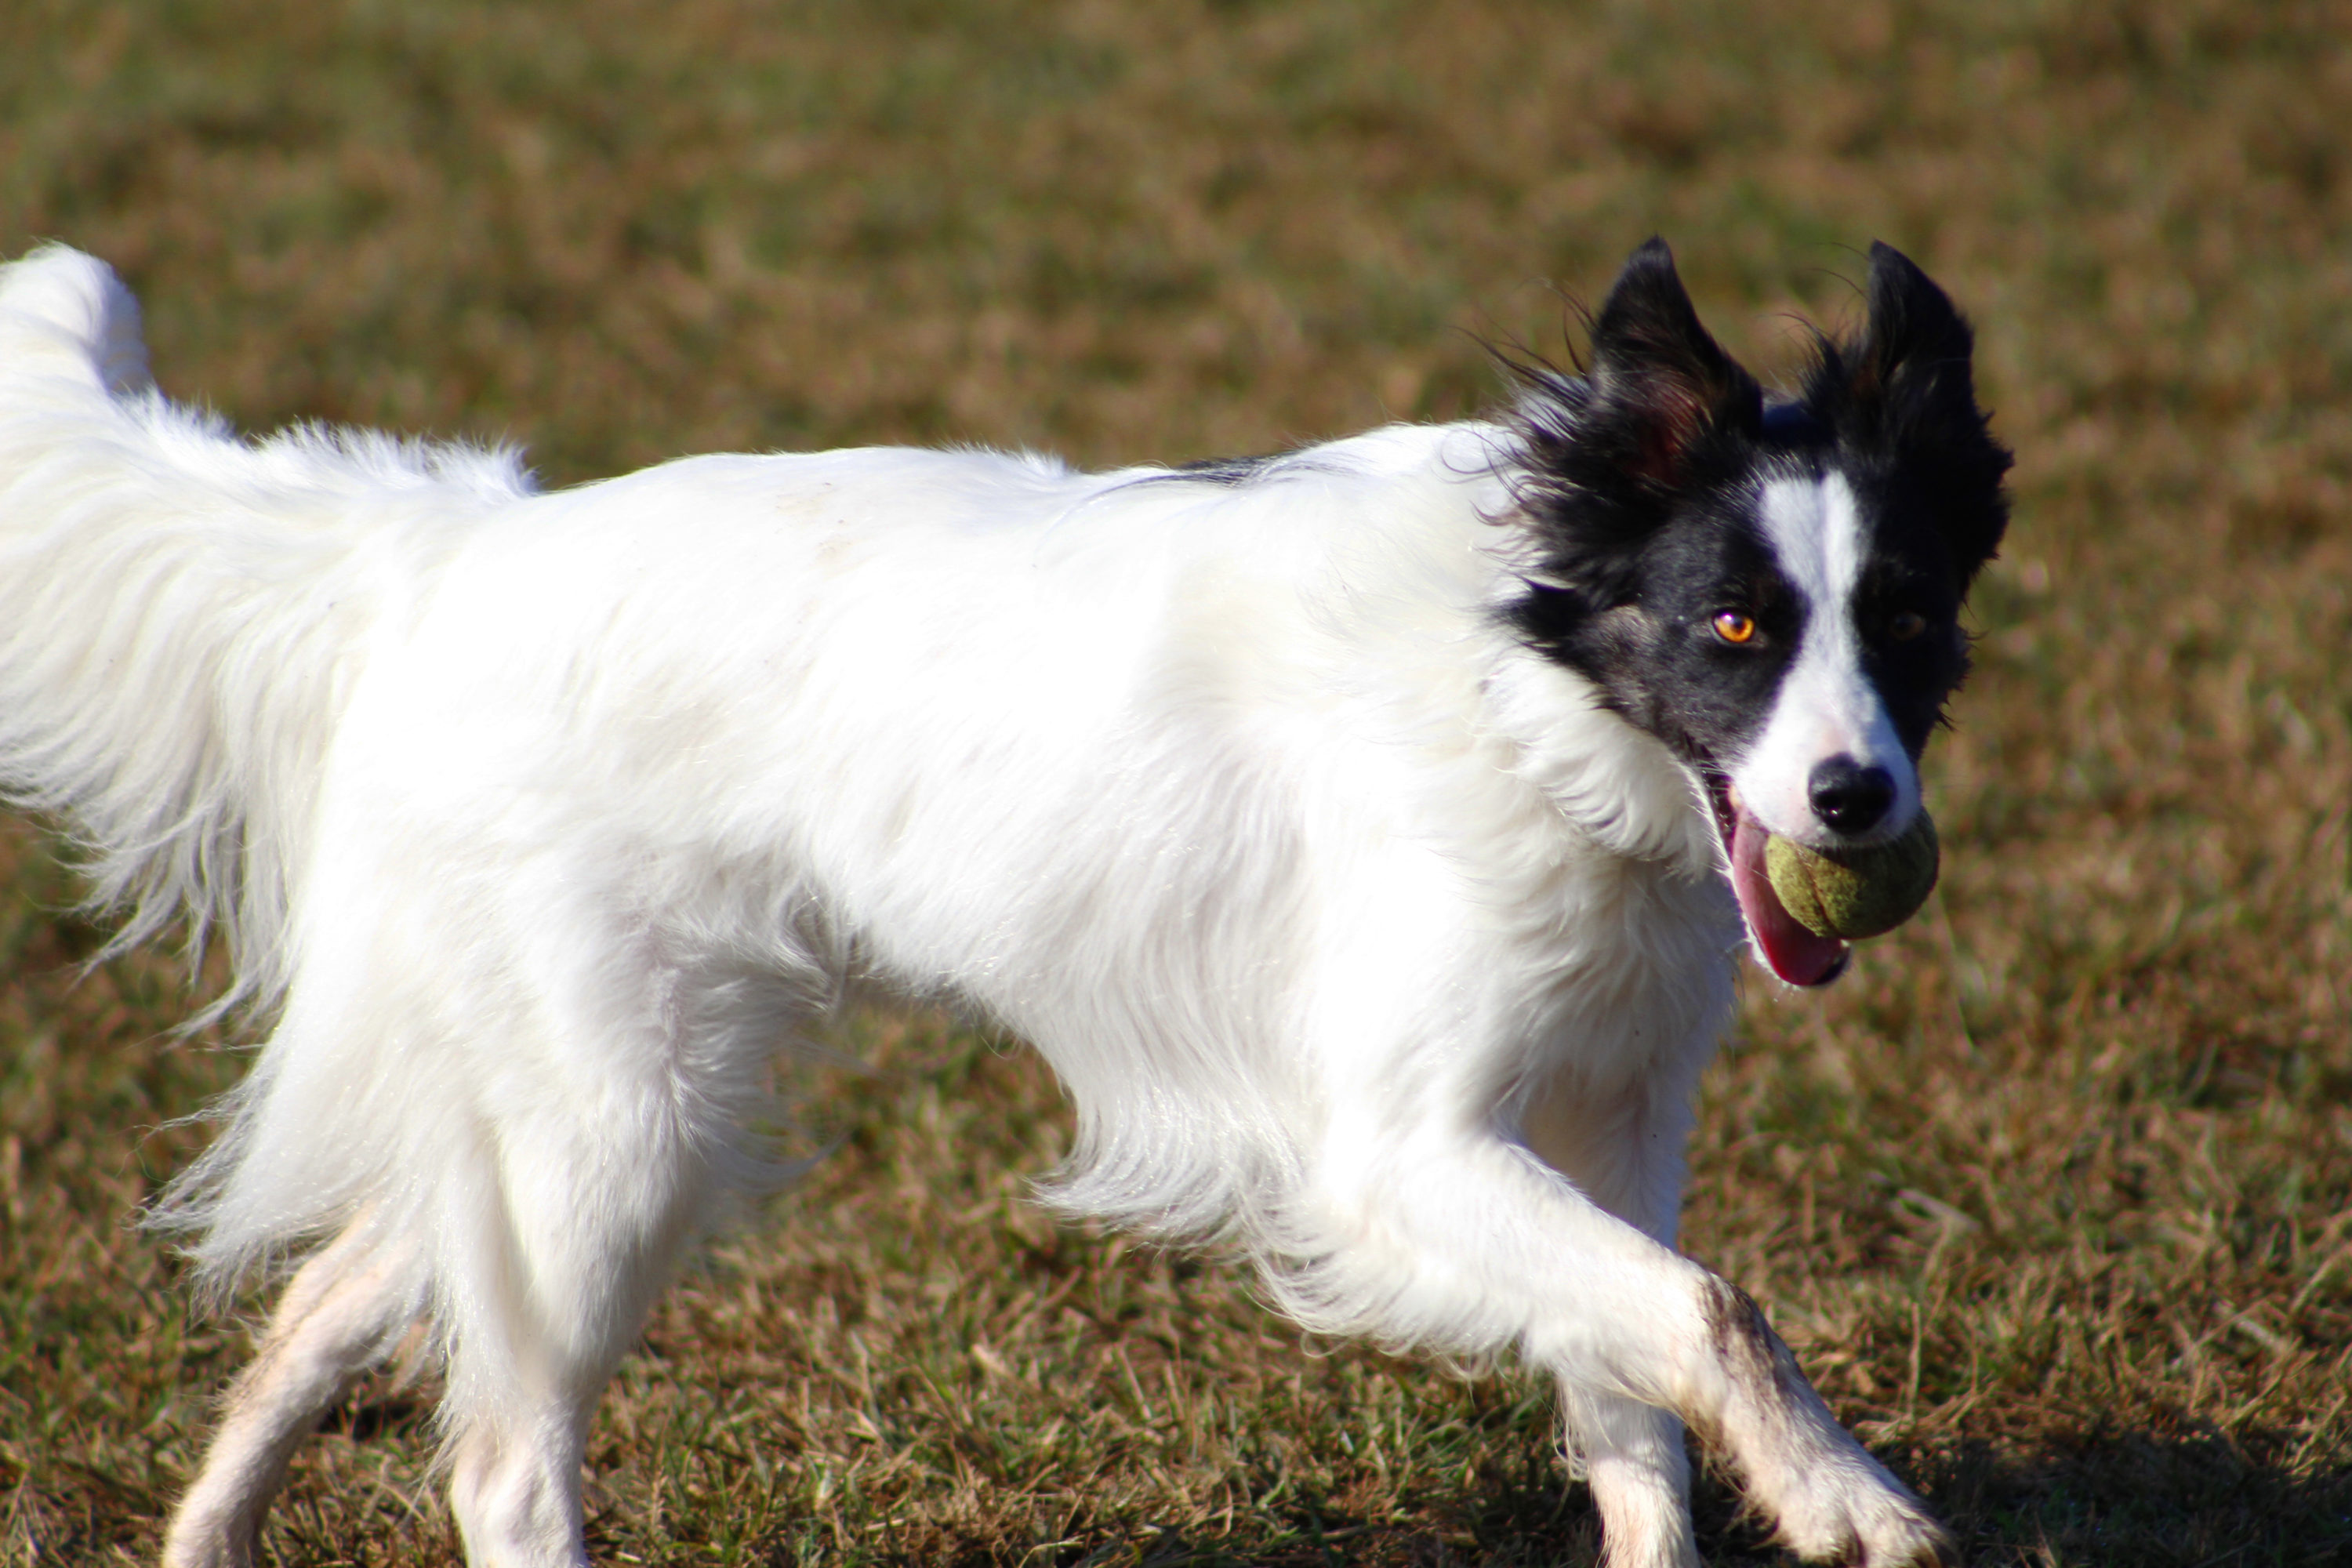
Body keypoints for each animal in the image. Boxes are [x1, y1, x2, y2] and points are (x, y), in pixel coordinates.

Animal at [0, 236, 2004, 1568]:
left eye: (1905, 619)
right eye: (1734, 624)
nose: (1859, 802)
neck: (1528, 698)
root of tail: (453, 548)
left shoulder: (1609, 1123)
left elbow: (1641, 1401)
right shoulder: (1396, 1148)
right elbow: (1709, 1311)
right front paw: (1854, 1497)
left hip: (564, 1106)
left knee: (329, 1293)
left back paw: (208, 1531)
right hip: (619, 1122)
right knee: (498, 1455)